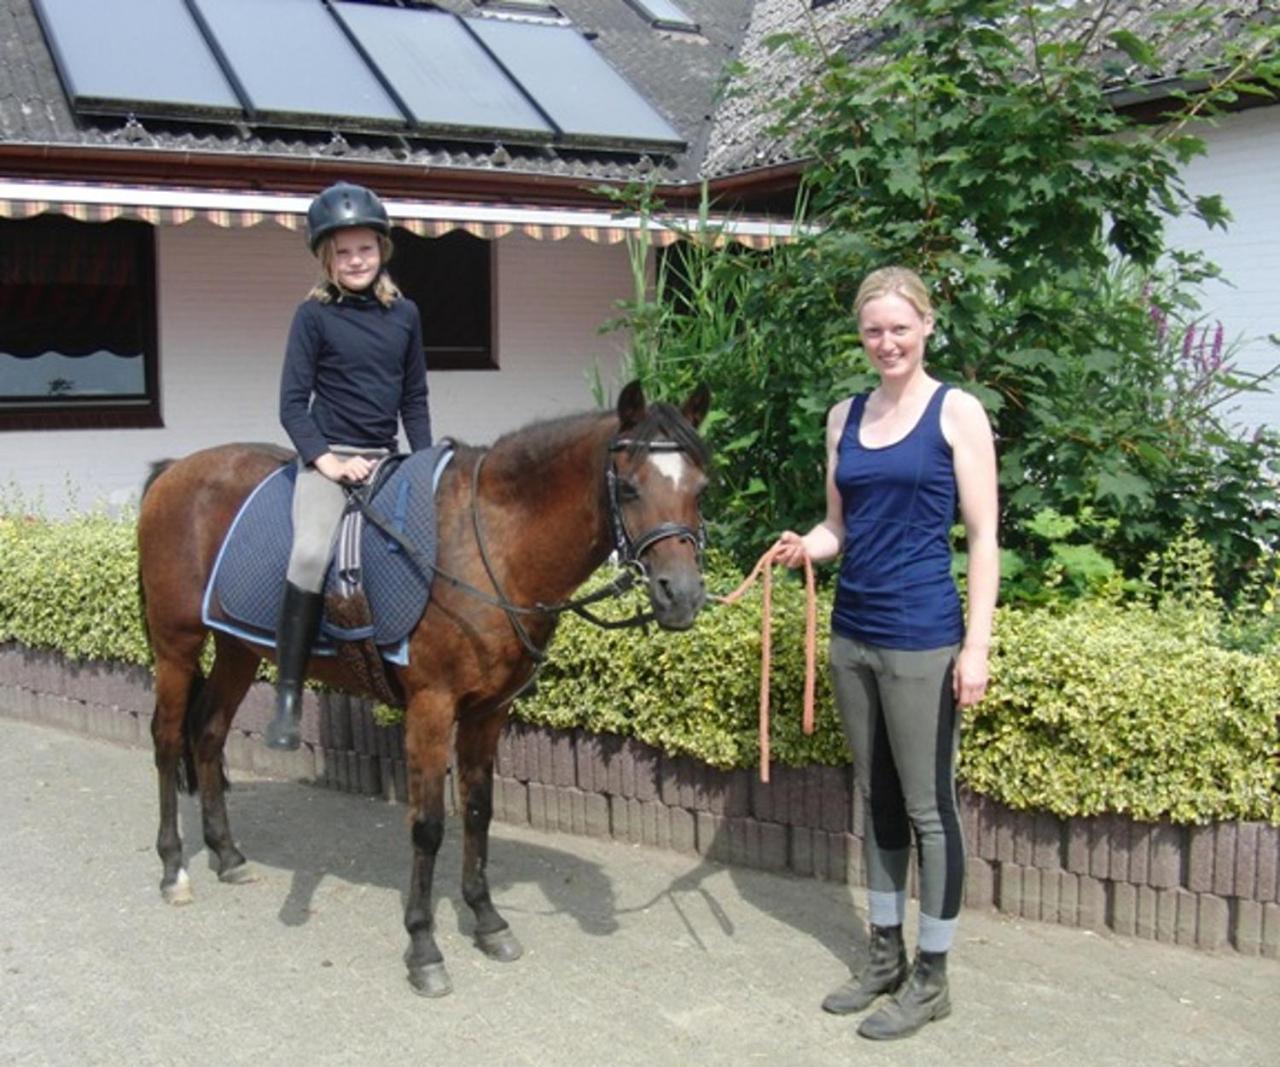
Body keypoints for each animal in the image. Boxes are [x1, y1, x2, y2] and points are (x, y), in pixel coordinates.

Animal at [140, 378, 711, 992]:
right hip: (176, 647)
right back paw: (173, 868)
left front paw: (487, 919)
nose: (681, 595)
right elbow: (429, 825)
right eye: (628, 486)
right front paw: (423, 947)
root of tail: (174, 470)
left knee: (208, 732)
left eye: (701, 487)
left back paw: (227, 855)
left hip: (237, 648)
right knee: (168, 740)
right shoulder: (431, 708)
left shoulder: (488, 712)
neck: (489, 546)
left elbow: (479, 812)